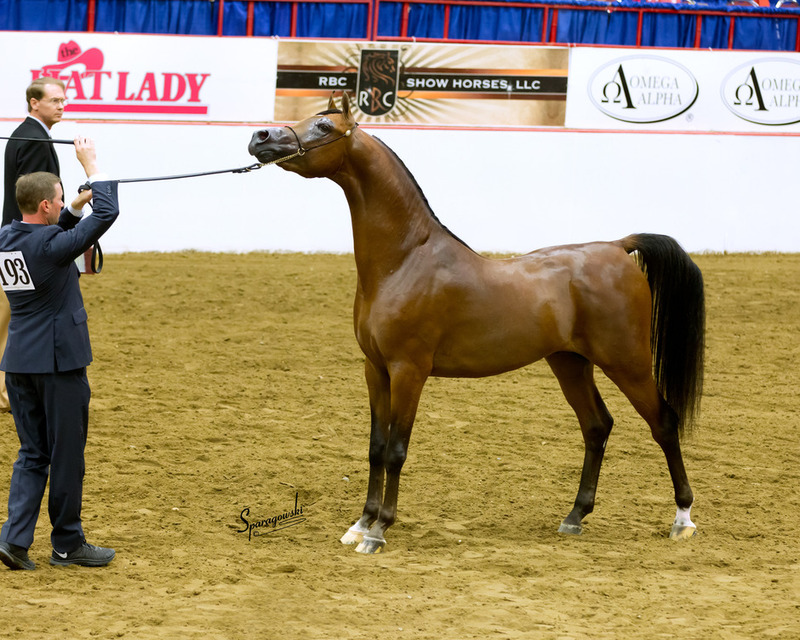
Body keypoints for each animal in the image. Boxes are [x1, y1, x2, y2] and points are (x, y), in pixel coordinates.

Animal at [248, 93, 705, 554]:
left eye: (324, 127)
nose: (260, 137)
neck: (405, 261)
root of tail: (616, 247)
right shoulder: (375, 369)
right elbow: (376, 447)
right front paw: (359, 525)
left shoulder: (409, 371)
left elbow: (397, 449)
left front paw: (379, 531)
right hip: (570, 362)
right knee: (597, 426)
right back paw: (575, 516)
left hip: (627, 362)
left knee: (663, 423)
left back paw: (682, 518)